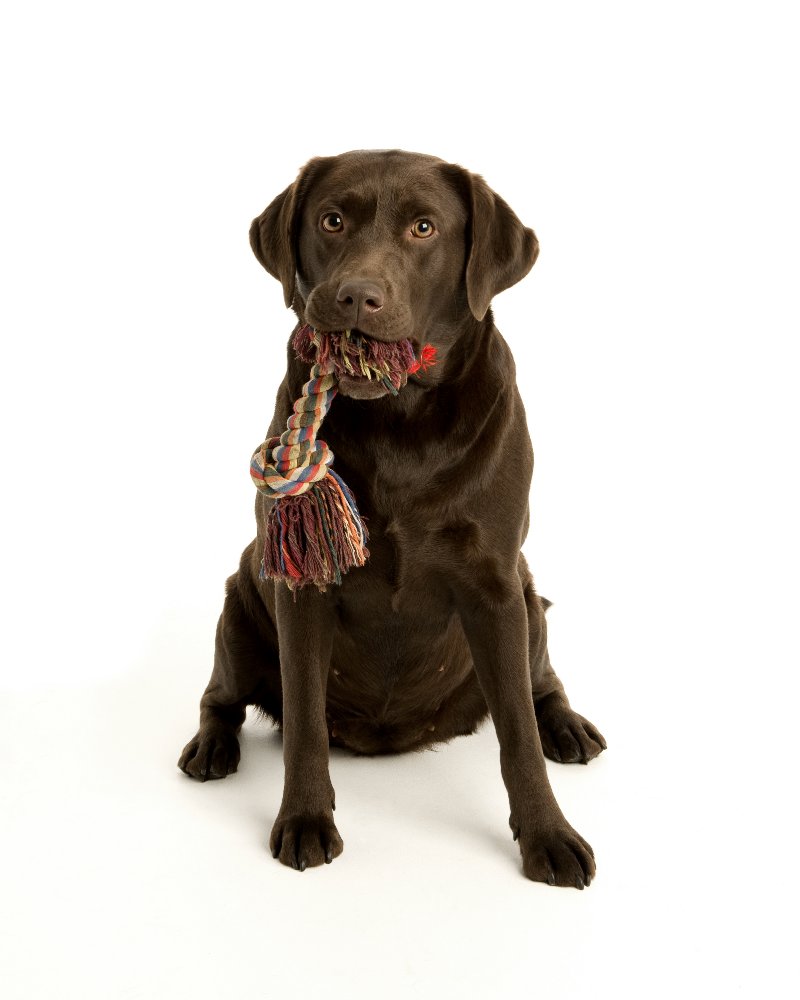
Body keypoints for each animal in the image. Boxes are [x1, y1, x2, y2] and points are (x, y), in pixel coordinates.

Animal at [178, 145, 608, 888]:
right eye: (332, 219)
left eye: (424, 228)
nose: (356, 295)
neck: (401, 418)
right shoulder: (302, 589)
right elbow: (305, 722)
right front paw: (305, 819)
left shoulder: (494, 586)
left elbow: (517, 733)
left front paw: (547, 834)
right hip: (240, 597)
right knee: (221, 695)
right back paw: (210, 746)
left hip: (529, 596)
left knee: (540, 684)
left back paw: (567, 725)